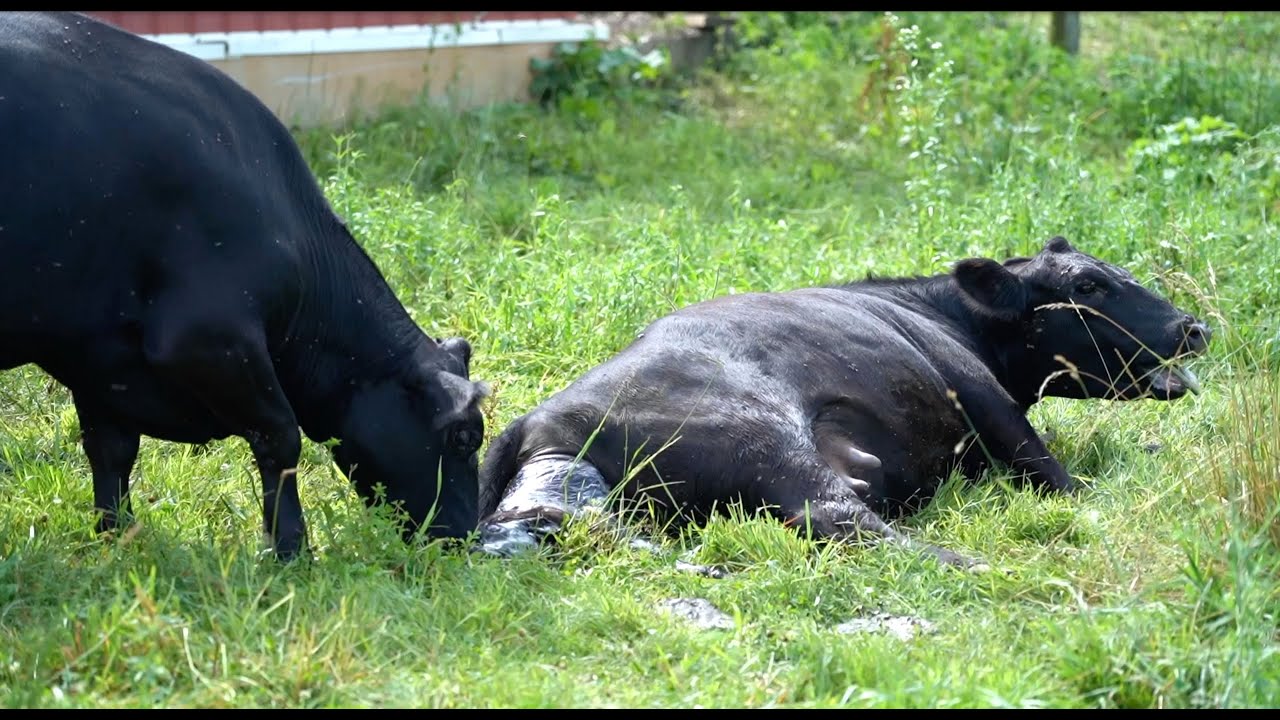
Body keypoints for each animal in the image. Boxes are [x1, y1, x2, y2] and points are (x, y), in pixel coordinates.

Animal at [0, 12, 489, 560]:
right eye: (465, 438)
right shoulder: (206, 338)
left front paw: (118, 538)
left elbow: (111, 451)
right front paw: (292, 549)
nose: (466, 537)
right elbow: (281, 435)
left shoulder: (97, 358)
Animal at [477, 237, 1211, 566]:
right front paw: (1093, 503)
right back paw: (970, 562)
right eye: (1089, 285)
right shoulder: (980, 394)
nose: (1193, 326)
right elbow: (1046, 465)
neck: (940, 310)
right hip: (769, 442)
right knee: (839, 516)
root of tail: (536, 420)